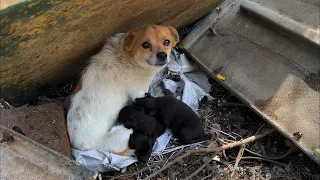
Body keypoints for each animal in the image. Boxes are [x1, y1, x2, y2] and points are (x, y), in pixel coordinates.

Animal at [67, 24, 180, 155]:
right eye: (146, 44)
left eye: (167, 41)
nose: (162, 55)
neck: (127, 58)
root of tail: (78, 146)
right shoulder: (139, 93)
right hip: (124, 134)